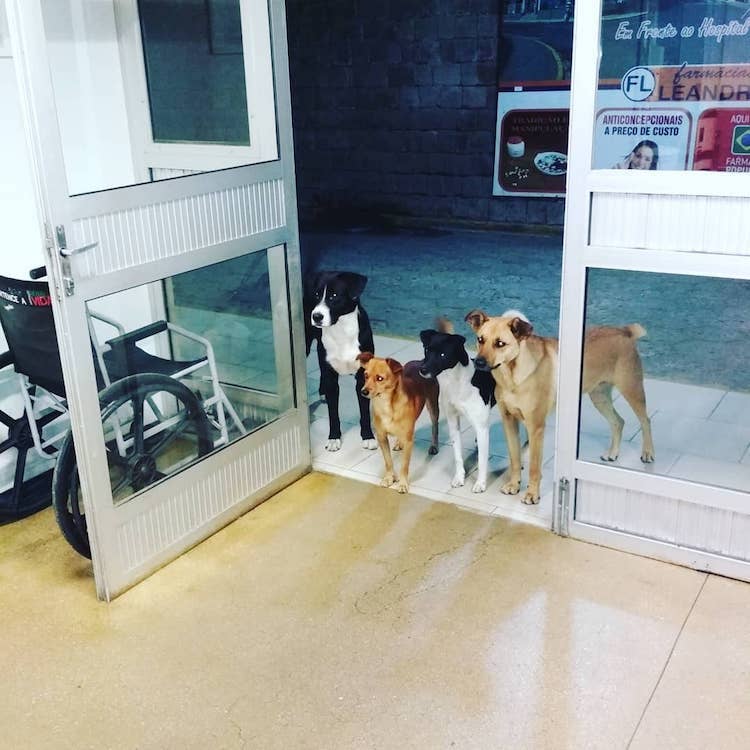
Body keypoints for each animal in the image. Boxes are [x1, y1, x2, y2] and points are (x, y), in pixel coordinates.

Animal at [306, 274, 376, 456]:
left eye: (334, 296)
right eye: (317, 295)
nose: (316, 316)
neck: (341, 331)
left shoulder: (362, 377)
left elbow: (364, 413)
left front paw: (368, 437)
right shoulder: (331, 375)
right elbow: (333, 414)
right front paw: (333, 439)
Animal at [360, 356, 440, 496]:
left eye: (379, 378)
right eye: (365, 375)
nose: (363, 391)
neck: (385, 405)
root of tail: (421, 361)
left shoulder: (409, 441)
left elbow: (404, 466)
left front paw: (402, 484)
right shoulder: (381, 437)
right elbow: (388, 461)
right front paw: (389, 478)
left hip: (432, 406)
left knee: (435, 427)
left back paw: (434, 446)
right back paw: (398, 443)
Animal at [420, 322, 496, 494]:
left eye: (443, 354)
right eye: (427, 350)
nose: (423, 370)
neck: (456, 381)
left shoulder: (481, 427)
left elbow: (482, 460)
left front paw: (480, 484)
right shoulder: (453, 421)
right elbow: (457, 455)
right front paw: (459, 478)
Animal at [468, 308, 656, 508]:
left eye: (500, 343)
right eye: (480, 339)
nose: (478, 362)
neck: (512, 375)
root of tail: (624, 331)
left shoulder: (535, 428)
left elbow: (534, 467)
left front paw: (532, 495)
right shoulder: (509, 421)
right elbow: (515, 457)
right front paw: (514, 485)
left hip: (632, 389)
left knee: (645, 420)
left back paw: (648, 453)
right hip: (599, 397)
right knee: (618, 422)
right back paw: (613, 453)